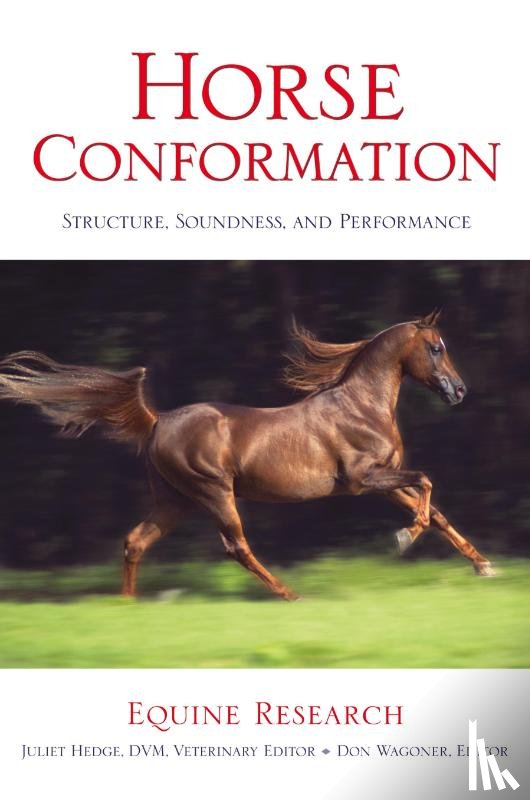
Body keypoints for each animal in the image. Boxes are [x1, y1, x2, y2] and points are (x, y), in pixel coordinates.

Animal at [0, 309, 495, 600]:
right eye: (436, 348)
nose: (459, 391)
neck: (362, 406)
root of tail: (157, 420)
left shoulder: (385, 480)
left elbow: (435, 512)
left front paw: (484, 566)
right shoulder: (363, 480)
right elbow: (427, 483)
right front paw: (403, 539)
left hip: (175, 500)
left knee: (135, 540)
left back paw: (128, 605)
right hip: (214, 492)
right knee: (235, 545)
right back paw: (290, 593)